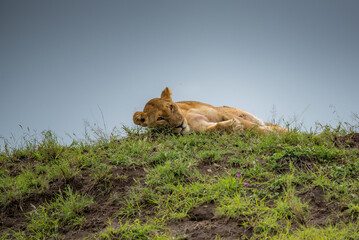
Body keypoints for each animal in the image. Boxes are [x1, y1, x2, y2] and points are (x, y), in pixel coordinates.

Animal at [134, 87, 288, 135]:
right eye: (160, 119)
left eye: (171, 107)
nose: (179, 125)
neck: (186, 117)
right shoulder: (201, 127)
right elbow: (215, 128)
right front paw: (232, 126)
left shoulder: (220, 113)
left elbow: (253, 127)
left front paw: (271, 135)